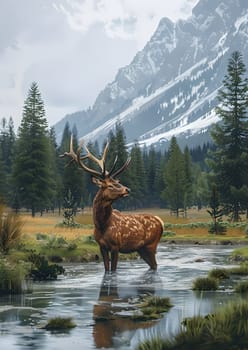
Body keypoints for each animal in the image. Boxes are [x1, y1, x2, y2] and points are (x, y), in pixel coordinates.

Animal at [61, 136, 164, 270]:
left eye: (117, 182)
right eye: (110, 185)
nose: (127, 189)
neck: (102, 225)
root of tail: (160, 222)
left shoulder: (116, 246)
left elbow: (113, 270)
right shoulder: (101, 246)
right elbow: (107, 269)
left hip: (151, 245)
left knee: (155, 265)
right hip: (141, 248)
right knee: (152, 265)